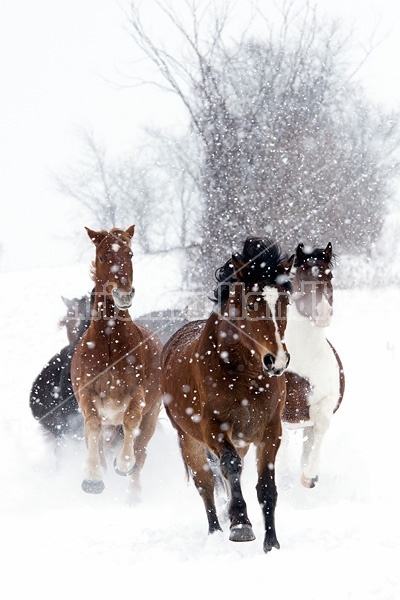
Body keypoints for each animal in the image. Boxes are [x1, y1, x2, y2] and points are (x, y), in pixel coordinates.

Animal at [162, 236, 294, 552]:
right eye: (252, 303)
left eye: (284, 301)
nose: (277, 361)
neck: (245, 374)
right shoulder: (214, 427)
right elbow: (230, 468)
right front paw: (241, 526)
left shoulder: (270, 430)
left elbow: (266, 487)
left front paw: (272, 543)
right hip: (189, 440)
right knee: (207, 484)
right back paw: (216, 531)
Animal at [282, 243, 346, 488]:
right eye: (302, 276)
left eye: (330, 275)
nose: (323, 313)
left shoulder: (324, 403)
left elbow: (320, 429)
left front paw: (309, 476)